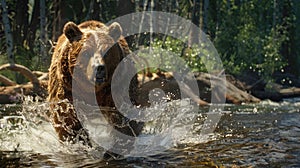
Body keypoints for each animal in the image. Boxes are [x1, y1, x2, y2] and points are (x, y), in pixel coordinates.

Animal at [47, 20, 143, 158]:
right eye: (86, 52)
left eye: (106, 51)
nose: (99, 68)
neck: (91, 89)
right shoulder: (67, 88)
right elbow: (66, 117)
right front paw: (79, 143)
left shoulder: (115, 88)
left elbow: (122, 118)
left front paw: (113, 150)